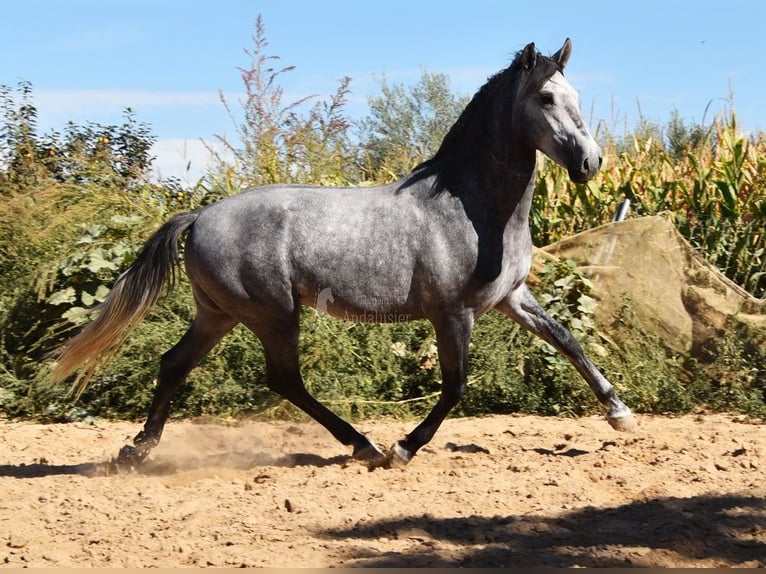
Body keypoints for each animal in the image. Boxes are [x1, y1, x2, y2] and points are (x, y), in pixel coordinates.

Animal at [52, 39, 636, 472]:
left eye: (574, 92)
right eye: (546, 99)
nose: (590, 162)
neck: (470, 208)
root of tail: (198, 216)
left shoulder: (511, 297)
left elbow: (567, 340)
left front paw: (620, 413)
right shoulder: (453, 312)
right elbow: (455, 385)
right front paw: (403, 448)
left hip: (219, 313)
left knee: (175, 364)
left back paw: (136, 451)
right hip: (271, 313)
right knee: (283, 379)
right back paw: (365, 445)